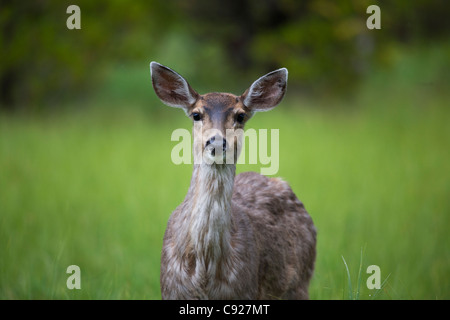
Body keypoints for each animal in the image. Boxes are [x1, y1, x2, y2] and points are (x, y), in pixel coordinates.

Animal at [150, 62, 316, 300]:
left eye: (240, 116)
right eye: (196, 114)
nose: (217, 141)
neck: (205, 265)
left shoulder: (245, 290)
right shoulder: (171, 290)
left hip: (301, 282)